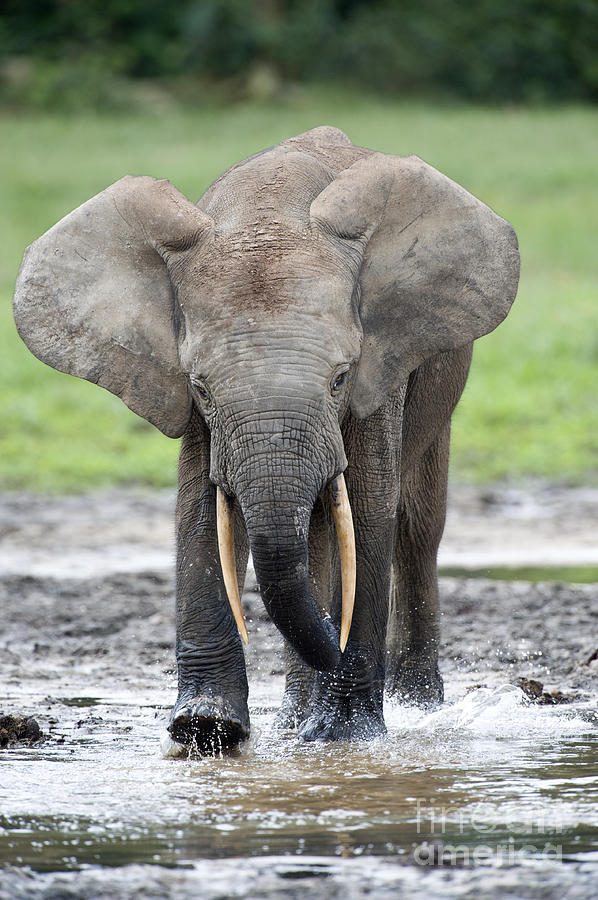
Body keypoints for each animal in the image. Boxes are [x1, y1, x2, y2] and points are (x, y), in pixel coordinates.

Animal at [14, 125, 520, 744]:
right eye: (201, 387)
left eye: (341, 377)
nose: (332, 643)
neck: (269, 210)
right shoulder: (198, 412)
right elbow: (199, 509)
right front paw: (205, 729)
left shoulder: (381, 367)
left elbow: (371, 504)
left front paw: (345, 737)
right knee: (319, 538)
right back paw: (294, 721)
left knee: (415, 528)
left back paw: (412, 707)